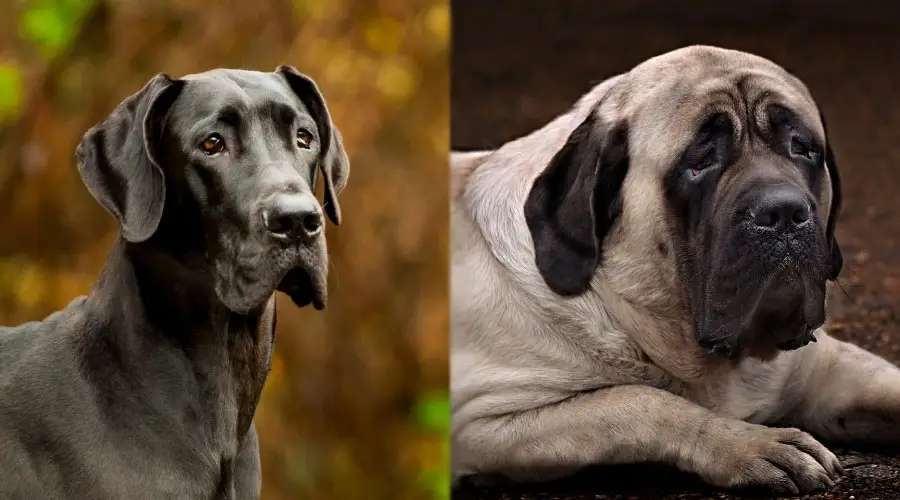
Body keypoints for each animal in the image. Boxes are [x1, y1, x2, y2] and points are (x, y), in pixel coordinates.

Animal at [454, 46, 900, 496]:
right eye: (700, 161)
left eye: (802, 148)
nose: (784, 212)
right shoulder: (482, 422)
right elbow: (640, 402)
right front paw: (754, 444)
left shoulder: (827, 366)